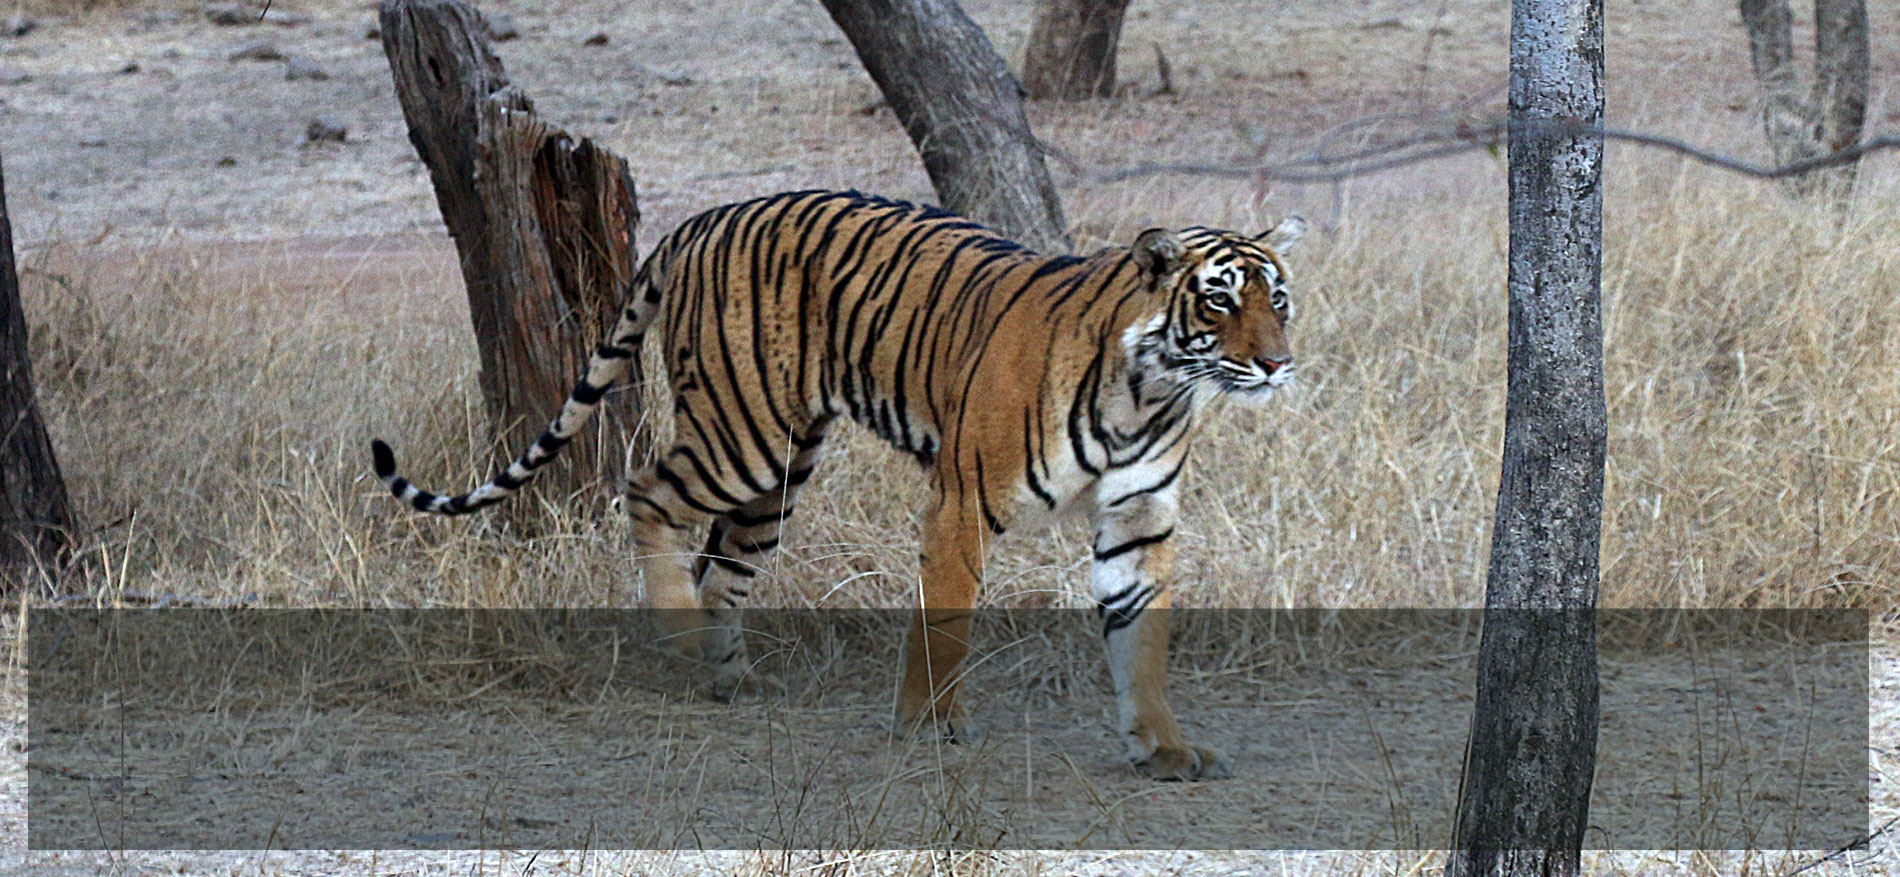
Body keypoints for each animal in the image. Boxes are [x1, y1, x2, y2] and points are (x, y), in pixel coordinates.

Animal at [372, 189, 1304, 781]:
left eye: (1280, 300)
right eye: (1219, 302)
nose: (1277, 363)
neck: (1152, 389)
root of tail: (700, 220)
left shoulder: (1139, 520)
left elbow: (1141, 643)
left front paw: (1164, 748)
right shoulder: (963, 502)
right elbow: (944, 626)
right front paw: (931, 724)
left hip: (779, 470)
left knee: (720, 565)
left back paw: (729, 675)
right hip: (741, 436)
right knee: (645, 490)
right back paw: (679, 636)